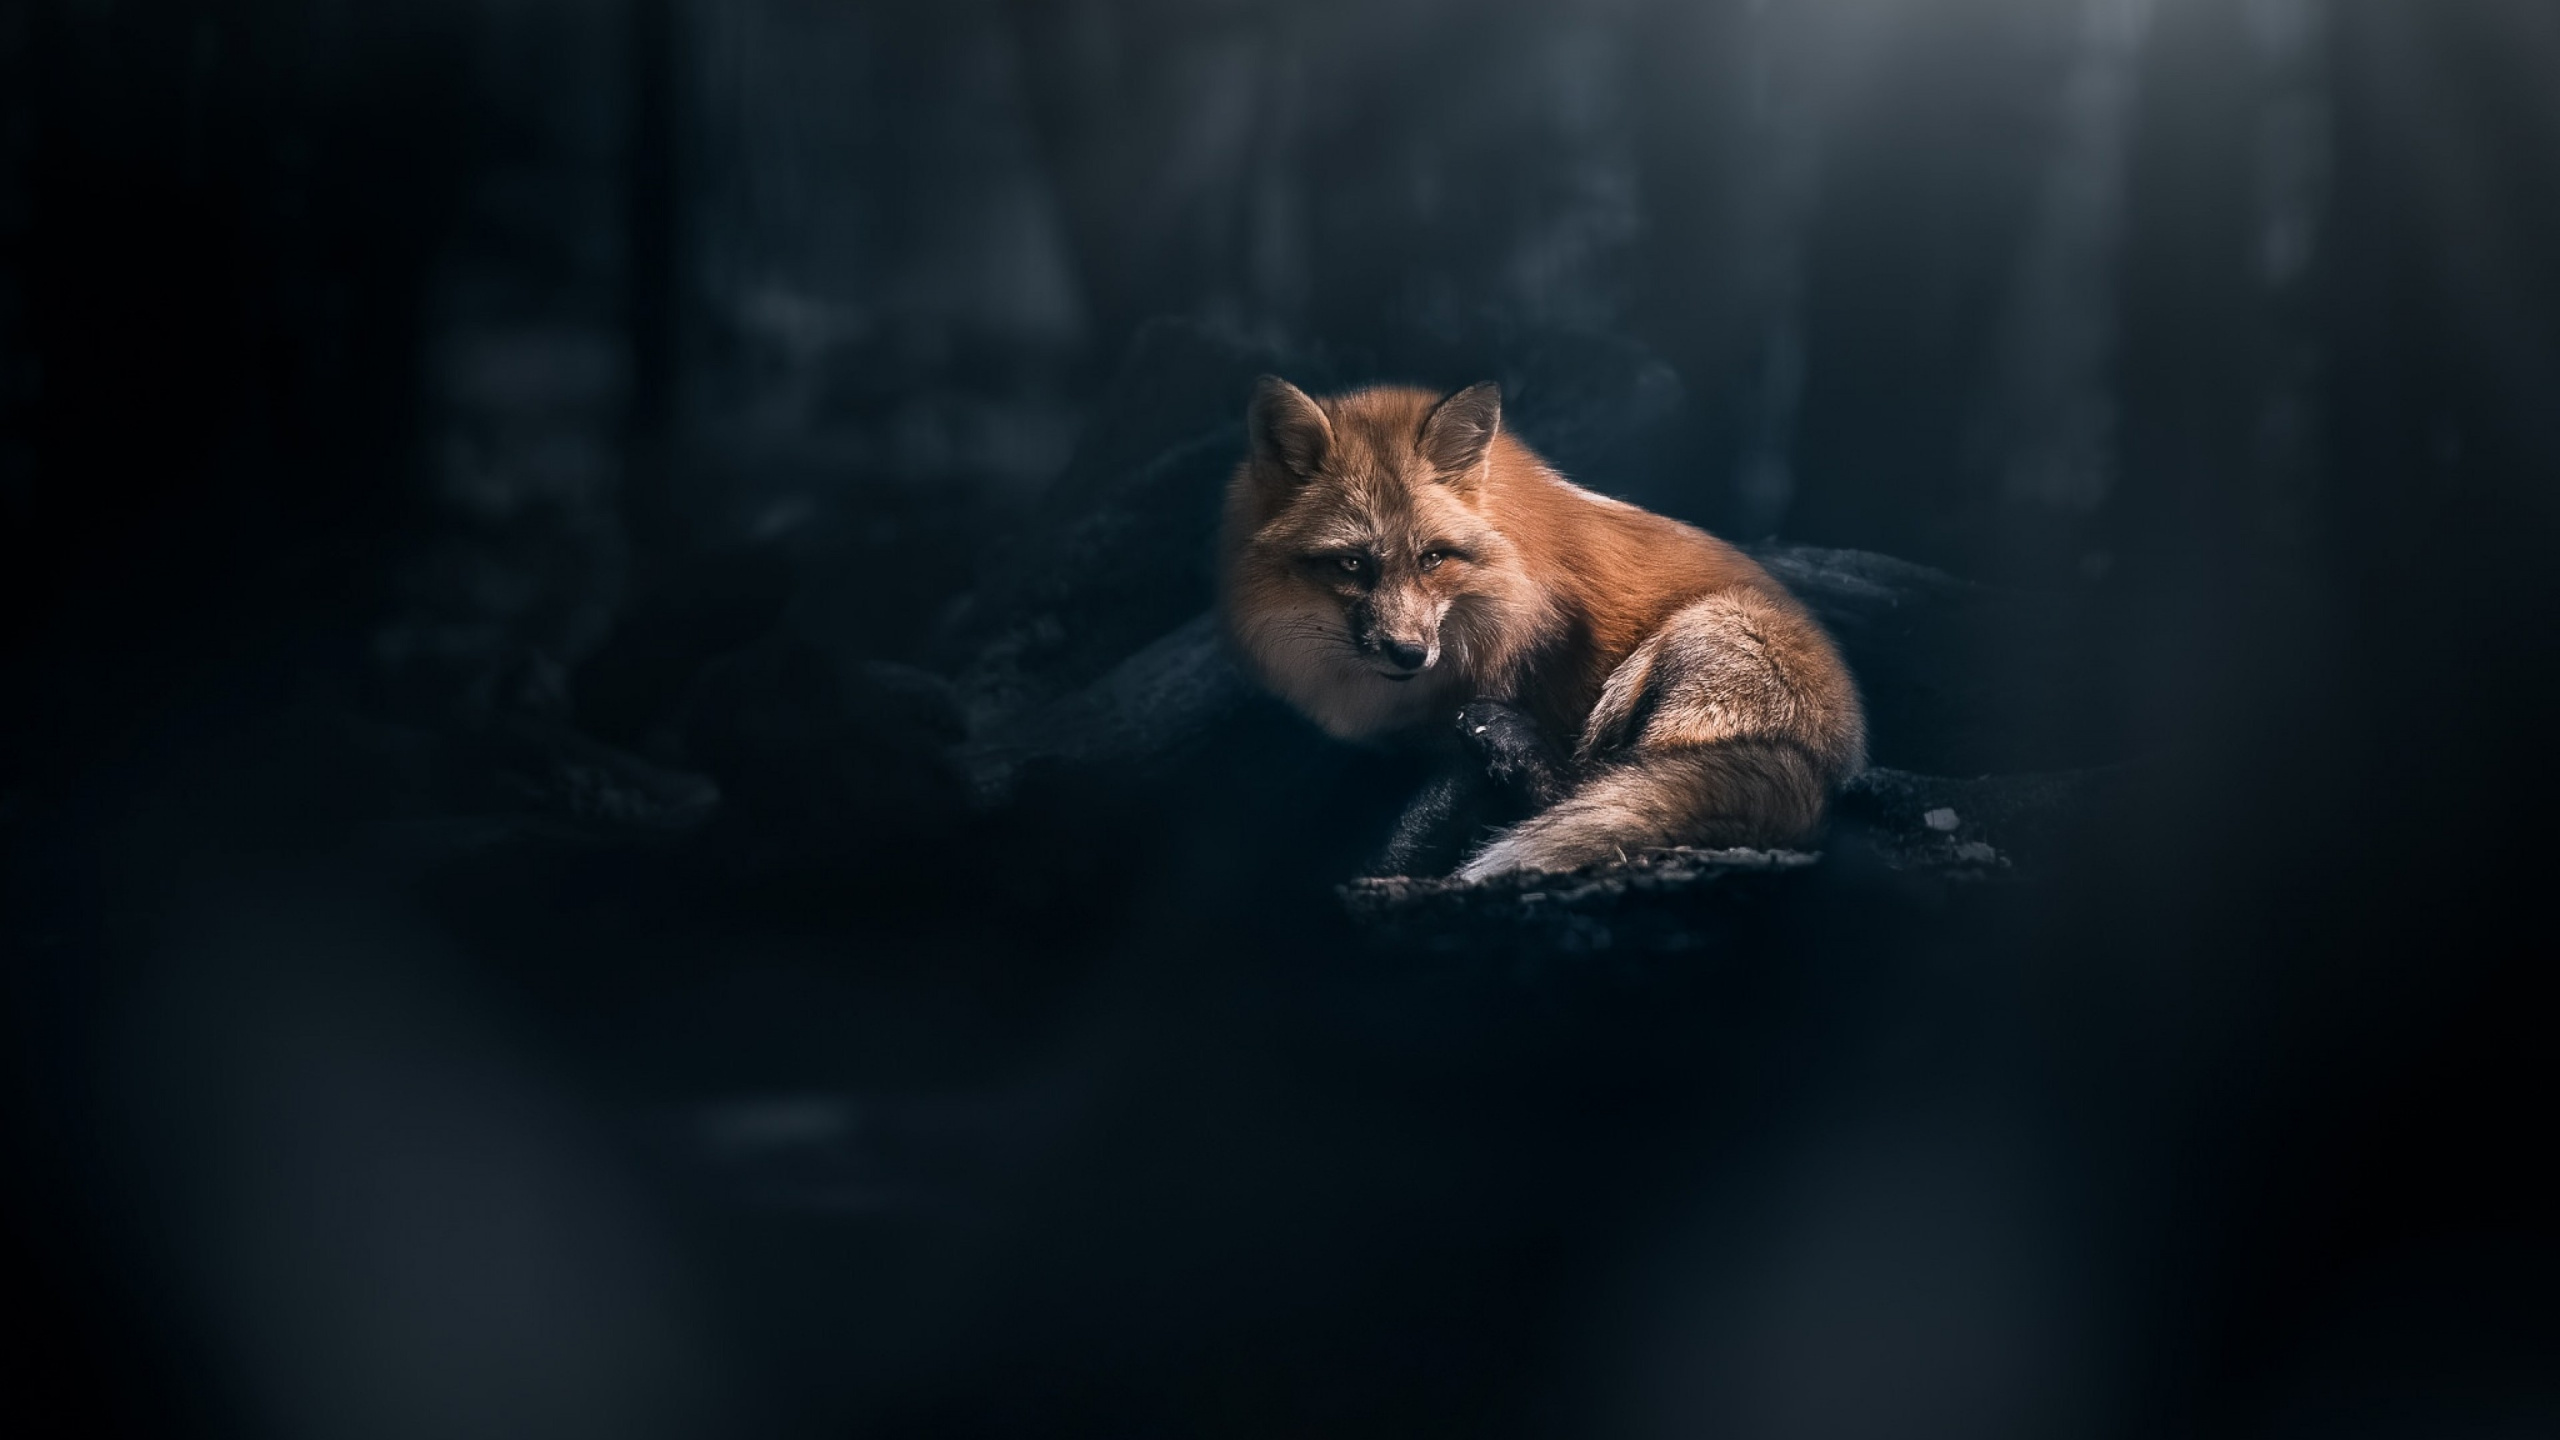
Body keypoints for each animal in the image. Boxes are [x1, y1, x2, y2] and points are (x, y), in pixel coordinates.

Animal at [1218, 376, 1866, 881]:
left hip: (1695, 639)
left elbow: (1414, 832)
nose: (1409, 654)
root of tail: (1831, 773)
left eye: (1433, 559)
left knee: (1586, 790)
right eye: (1352, 564)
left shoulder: (1508, 695)